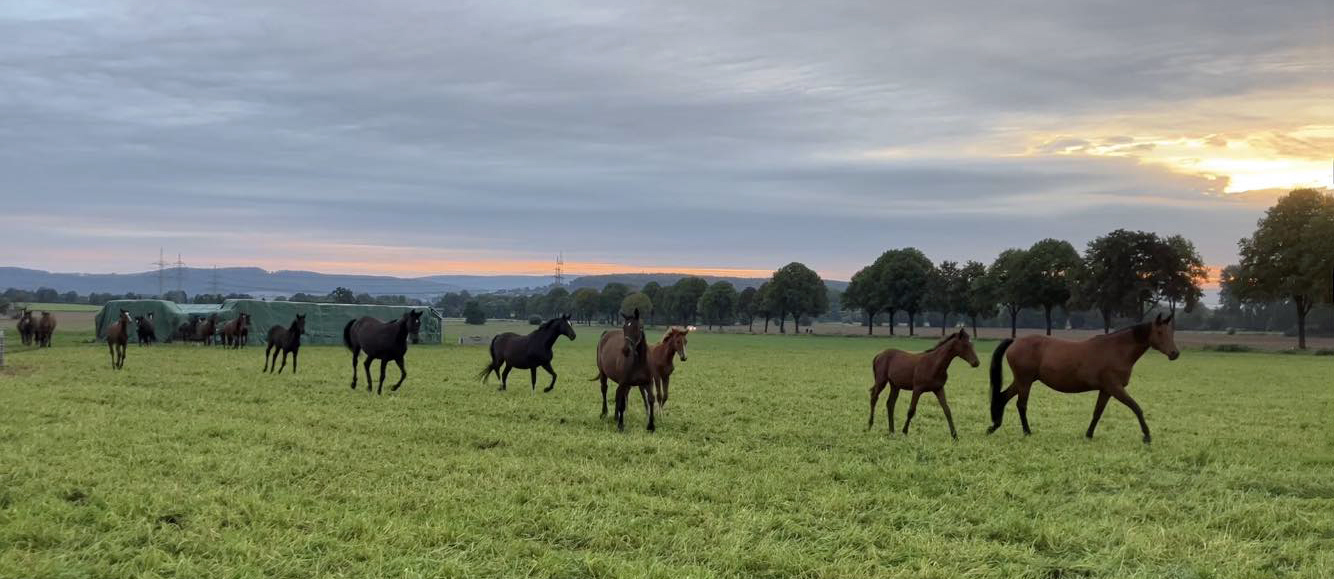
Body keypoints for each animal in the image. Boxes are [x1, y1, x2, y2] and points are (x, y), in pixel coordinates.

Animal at [987, 312, 1184, 442]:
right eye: (1160, 333)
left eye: (1171, 332)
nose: (1175, 354)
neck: (1117, 350)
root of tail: (1016, 340)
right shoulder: (1115, 388)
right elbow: (1136, 408)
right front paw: (1147, 435)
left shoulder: (1106, 390)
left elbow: (1097, 412)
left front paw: (1088, 435)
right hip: (1025, 381)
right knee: (1021, 405)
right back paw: (1026, 432)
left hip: (1022, 381)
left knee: (1003, 397)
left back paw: (994, 426)